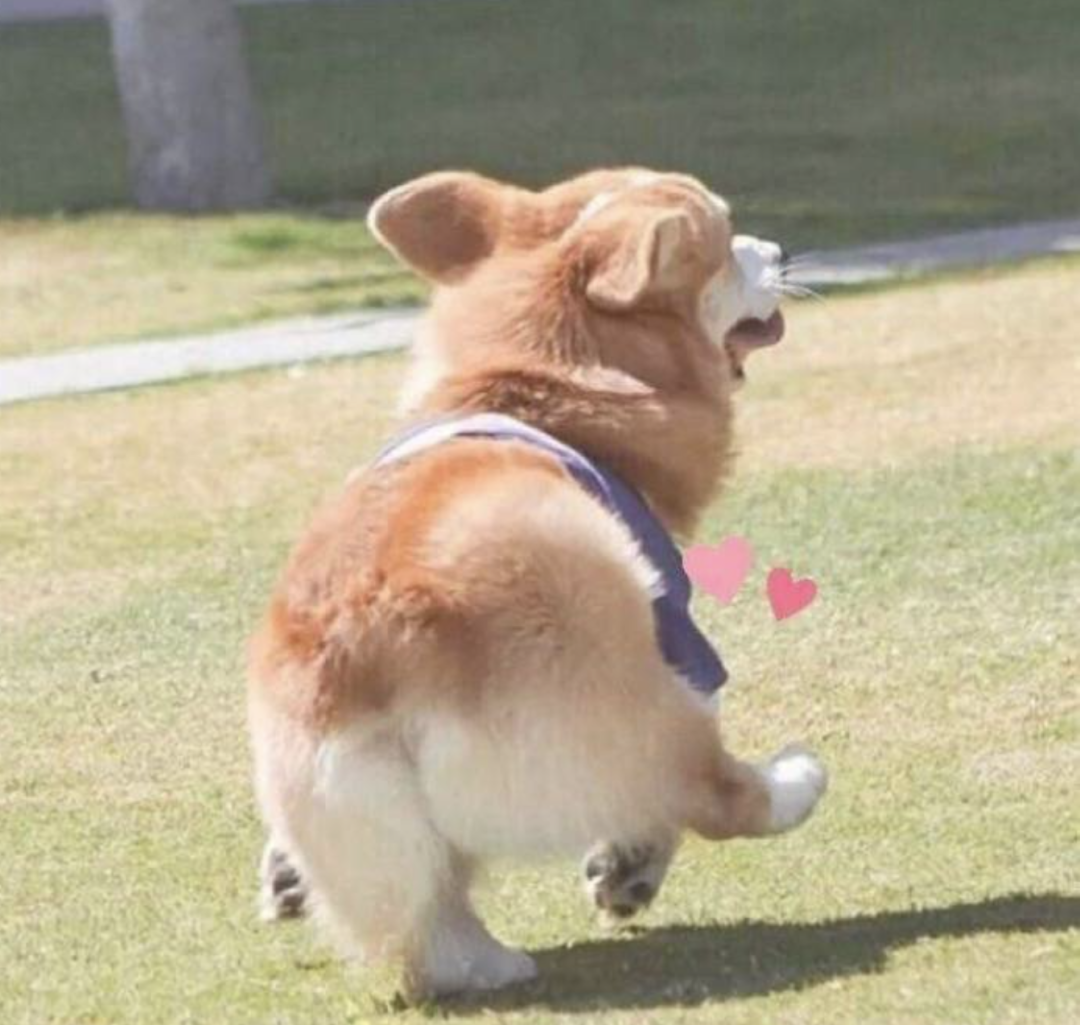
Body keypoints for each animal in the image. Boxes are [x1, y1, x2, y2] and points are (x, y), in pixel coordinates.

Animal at [247, 168, 826, 998]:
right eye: (724, 239)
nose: (777, 250)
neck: (527, 386)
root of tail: (374, 643)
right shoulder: (676, 633)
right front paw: (627, 865)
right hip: (628, 692)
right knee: (700, 787)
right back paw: (793, 782)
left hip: (348, 811)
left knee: (431, 919)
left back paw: (482, 960)